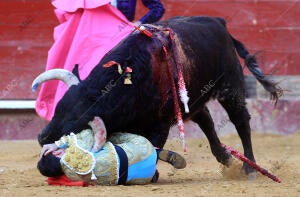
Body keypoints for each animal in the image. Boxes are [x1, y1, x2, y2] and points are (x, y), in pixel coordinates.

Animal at [32, 16, 282, 175]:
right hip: (192, 99)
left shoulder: (159, 126)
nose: (43, 138)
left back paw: (249, 167)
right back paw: (224, 156)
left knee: (241, 122)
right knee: (207, 122)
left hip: (231, 88)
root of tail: (219, 23)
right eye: (57, 109)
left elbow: (152, 148)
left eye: (72, 129)